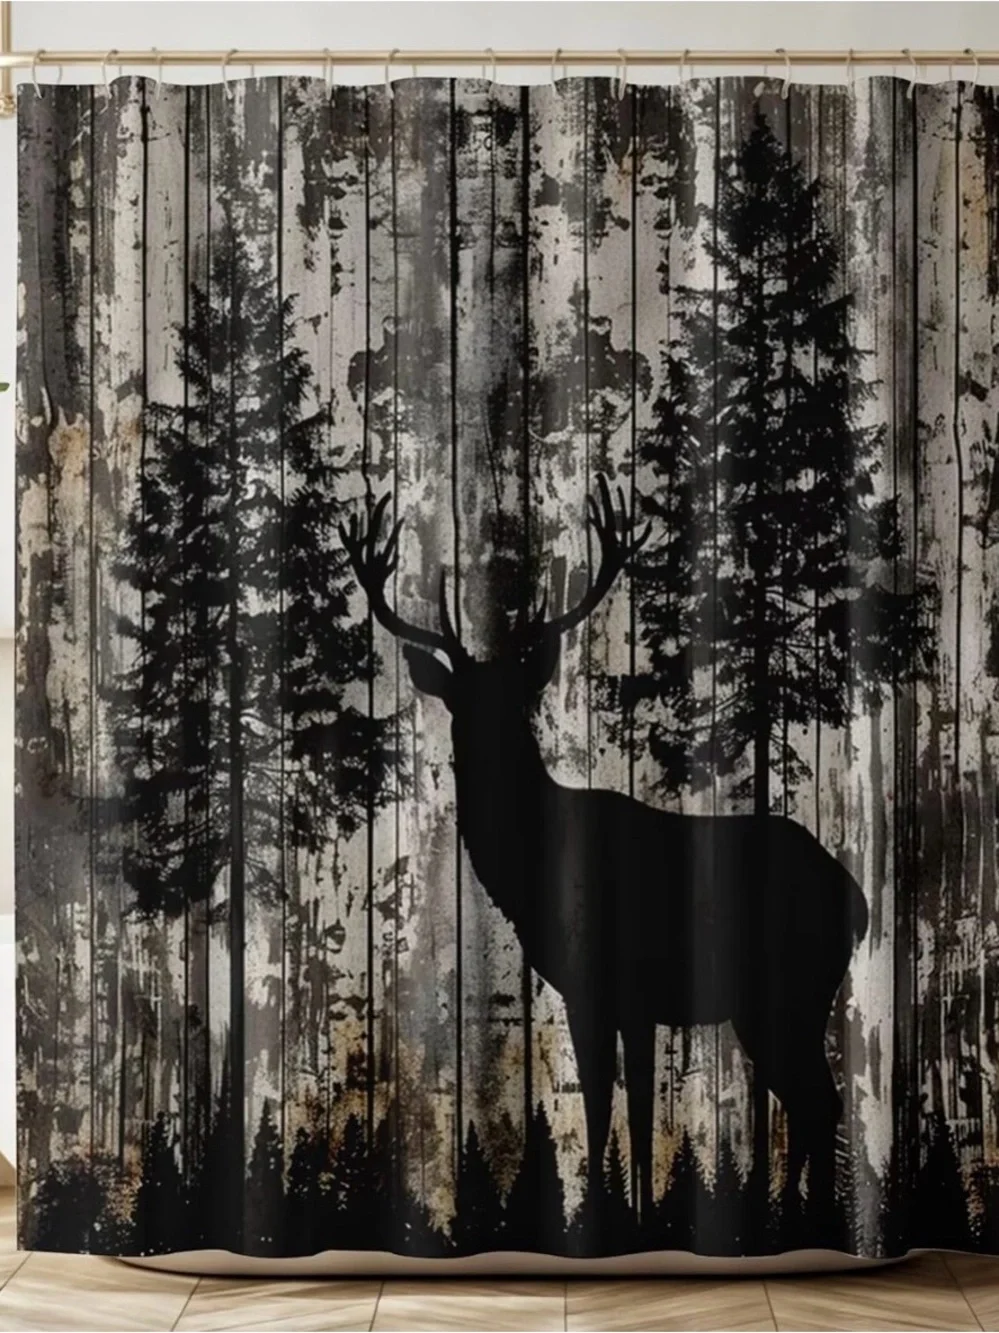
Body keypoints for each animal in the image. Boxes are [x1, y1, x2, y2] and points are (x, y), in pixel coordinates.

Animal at [340, 476, 869, 1227]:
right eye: (459, 701)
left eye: (514, 697)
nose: (483, 749)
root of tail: (856, 898)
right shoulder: (584, 992)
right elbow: (597, 1112)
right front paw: (602, 1211)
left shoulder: (635, 989)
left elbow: (638, 1117)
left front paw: (637, 1220)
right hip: (769, 1003)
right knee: (807, 1101)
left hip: (795, 985)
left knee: (819, 1099)